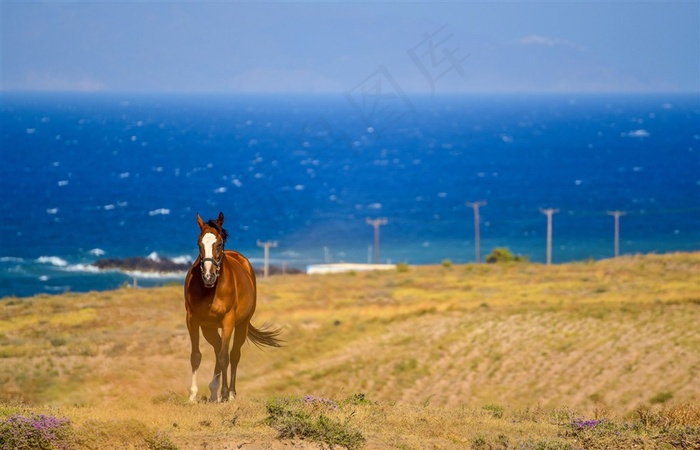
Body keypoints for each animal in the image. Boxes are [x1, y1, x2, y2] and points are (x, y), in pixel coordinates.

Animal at [186, 213, 284, 402]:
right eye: (199, 243)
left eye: (219, 243)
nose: (208, 276)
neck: (211, 290)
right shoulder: (192, 319)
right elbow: (196, 356)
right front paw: (193, 396)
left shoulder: (228, 321)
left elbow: (225, 357)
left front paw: (225, 394)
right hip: (209, 328)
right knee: (217, 350)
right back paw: (213, 393)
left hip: (241, 326)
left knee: (233, 355)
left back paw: (230, 393)